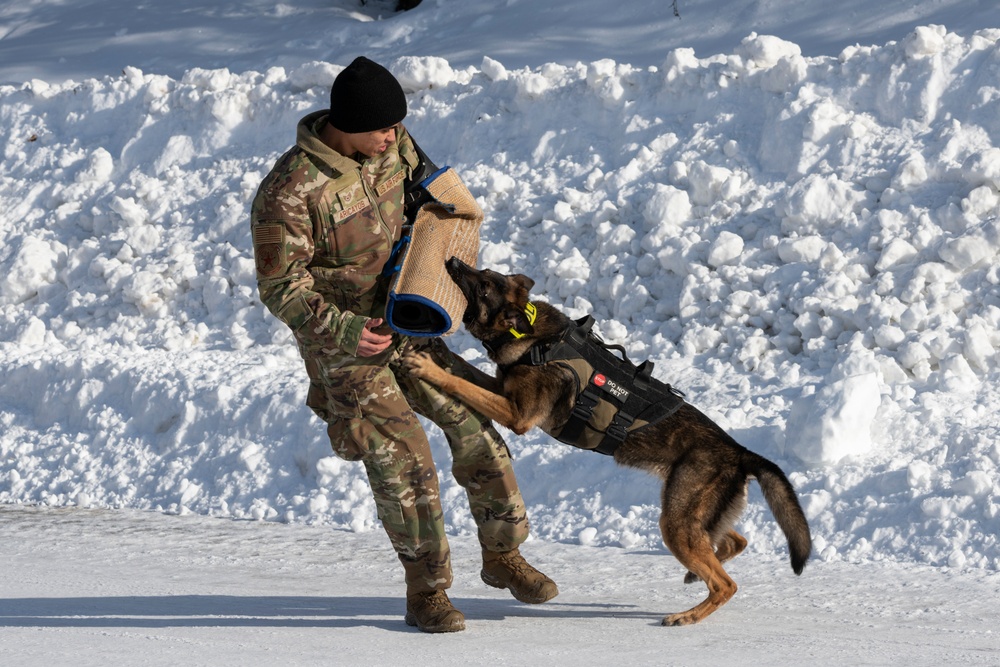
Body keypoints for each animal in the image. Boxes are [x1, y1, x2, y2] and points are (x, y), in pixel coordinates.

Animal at [404, 258, 812, 628]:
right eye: (485, 272)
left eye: (484, 286)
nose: (453, 260)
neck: (531, 335)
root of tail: (738, 452)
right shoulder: (503, 391)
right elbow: (468, 373)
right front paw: (437, 352)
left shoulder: (515, 414)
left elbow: (463, 383)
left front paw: (429, 368)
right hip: (691, 516)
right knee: (731, 543)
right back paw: (695, 577)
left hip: (676, 522)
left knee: (726, 584)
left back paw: (687, 615)